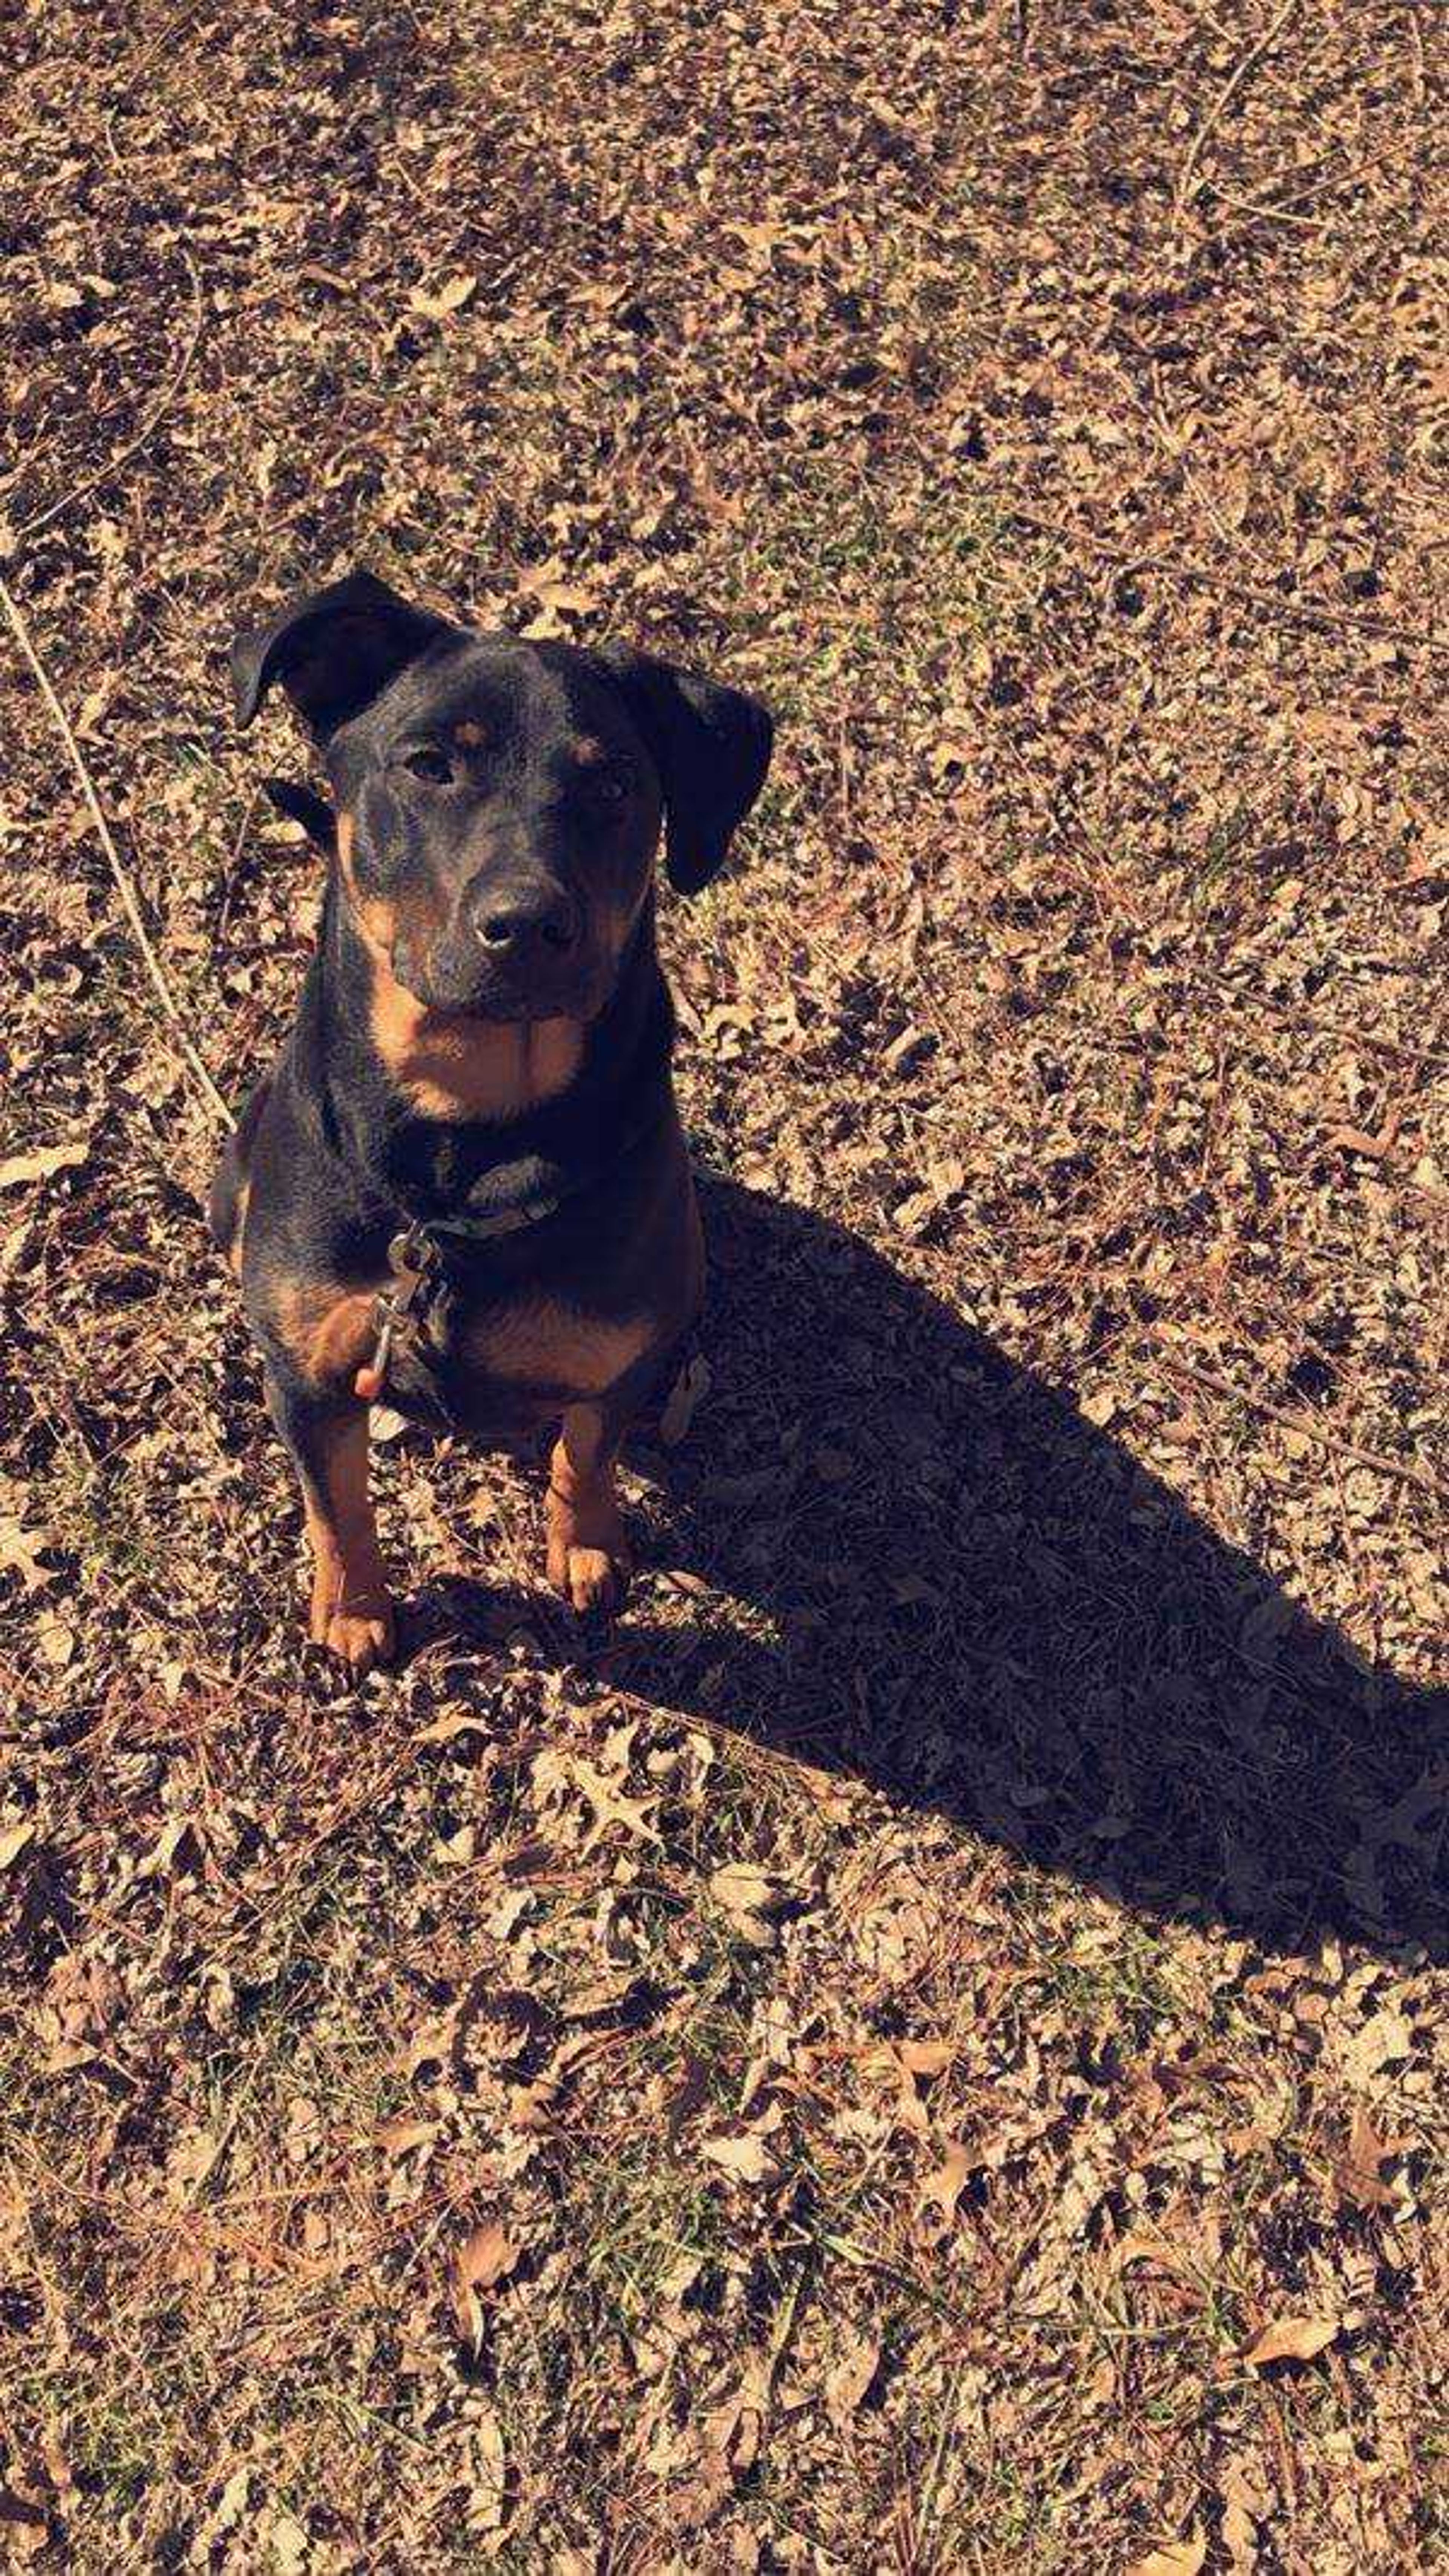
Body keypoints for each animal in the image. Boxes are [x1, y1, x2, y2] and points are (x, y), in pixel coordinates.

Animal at [206, 569, 768, 1669]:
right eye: (428, 765)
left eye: (614, 785)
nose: (528, 924)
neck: (465, 1137)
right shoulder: (309, 1375)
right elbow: (335, 1501)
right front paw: (354, 1609)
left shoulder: (618, 1355)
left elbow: (587, 1453)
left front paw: (586, 1550)